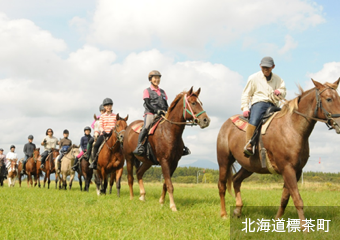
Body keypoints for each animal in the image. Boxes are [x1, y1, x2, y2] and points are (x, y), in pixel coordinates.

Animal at [216, 79, 340, 229]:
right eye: (329, 99)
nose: (339, 124)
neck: (292, 127)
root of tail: (226, 124)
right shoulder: (287, 168)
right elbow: (297, 199)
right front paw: (304, 229)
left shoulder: (296, 171)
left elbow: (285, 198)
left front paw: (277, 220)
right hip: (224, 161)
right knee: (222, 186)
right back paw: (223, 214)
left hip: (248, 167)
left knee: (236, 180)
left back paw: (237, 210)